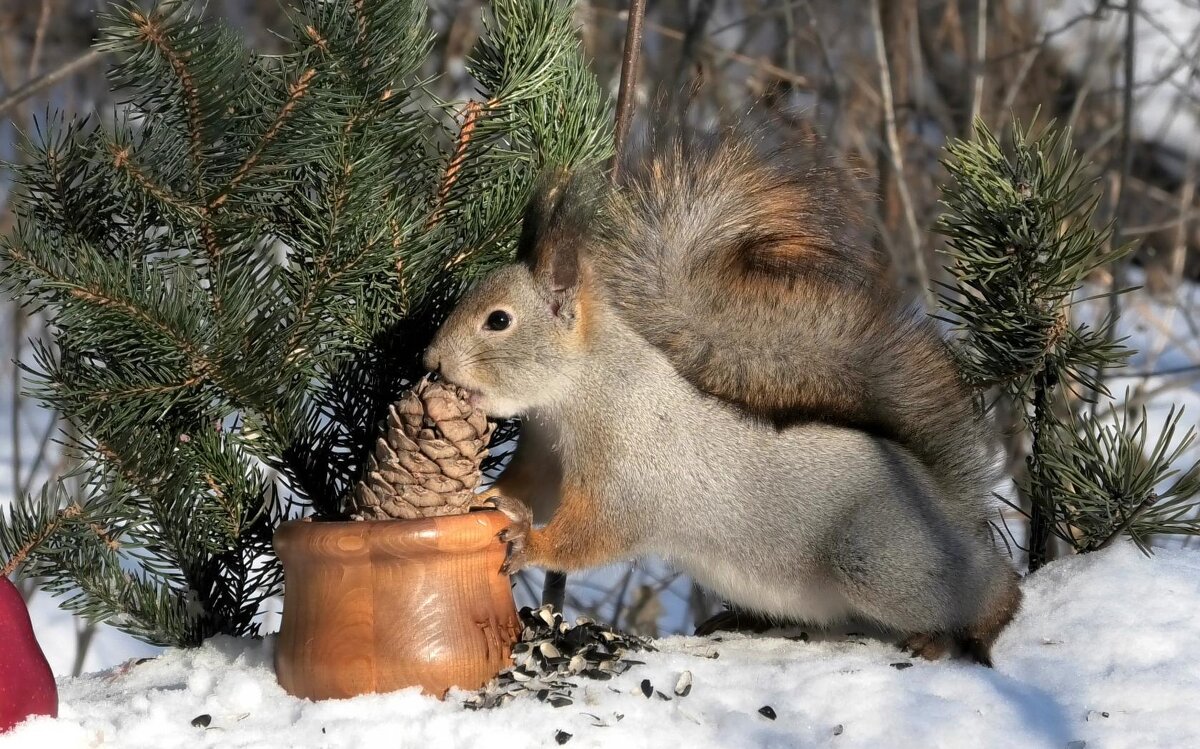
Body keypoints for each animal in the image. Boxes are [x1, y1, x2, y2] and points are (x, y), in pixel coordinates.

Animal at [422, 128, 1022, 667]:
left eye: (498, 321)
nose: (431, 361)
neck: (574, 398)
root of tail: (950, 507)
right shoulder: (544, 454)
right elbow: (527, 487)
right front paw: (491, 499)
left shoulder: (630, 473)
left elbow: (598, 533)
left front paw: (529, 544)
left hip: (880, 561)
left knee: (990, 593)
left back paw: (954, 631)